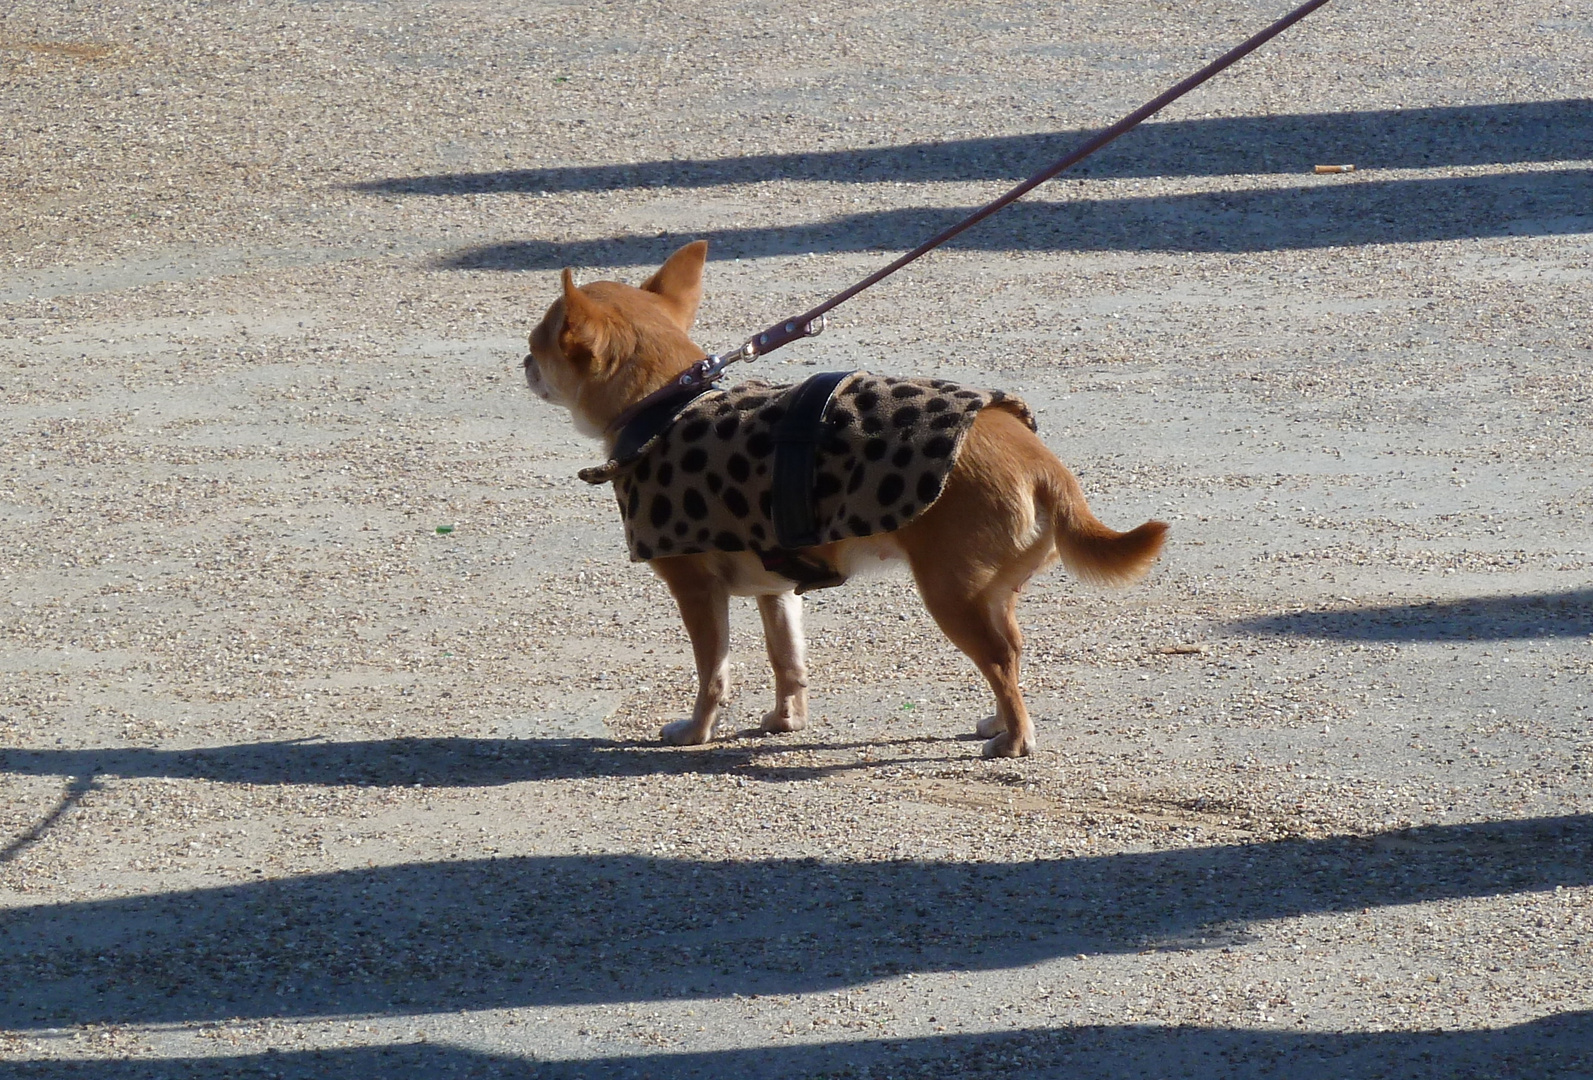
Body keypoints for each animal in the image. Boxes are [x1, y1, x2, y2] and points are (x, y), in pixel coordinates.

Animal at [528, 240, 1166, 758]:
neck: (665, 405)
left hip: (952, 596)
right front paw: (786, 720)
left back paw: (1014, 740)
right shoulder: (776, 590)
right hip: (992, 591)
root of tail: (1040, 459)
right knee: (1012, 649)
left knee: (999, 661)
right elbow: (787, 658)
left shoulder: (696, 592)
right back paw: (999, 723)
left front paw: (696, 731)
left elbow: (713, 672)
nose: (524, 361)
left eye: (540, 342)